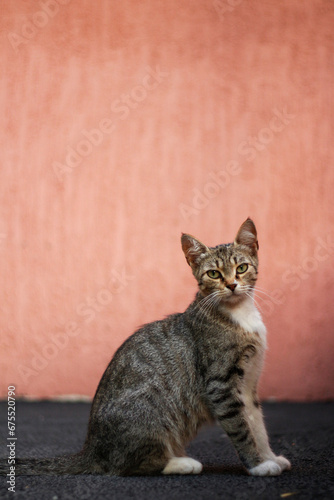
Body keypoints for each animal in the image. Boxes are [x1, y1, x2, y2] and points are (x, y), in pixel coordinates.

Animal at [0, 218, 290, 476]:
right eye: (214, 274)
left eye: (241, 268)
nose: (231, 285)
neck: (239, 315)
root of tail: (92, 450)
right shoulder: (221, 385)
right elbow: (241, 428)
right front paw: (257, 465)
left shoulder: (249, 384)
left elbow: (257, 425)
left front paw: (269, 457)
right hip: (151, 412)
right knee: (127, 466)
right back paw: (181, 463)